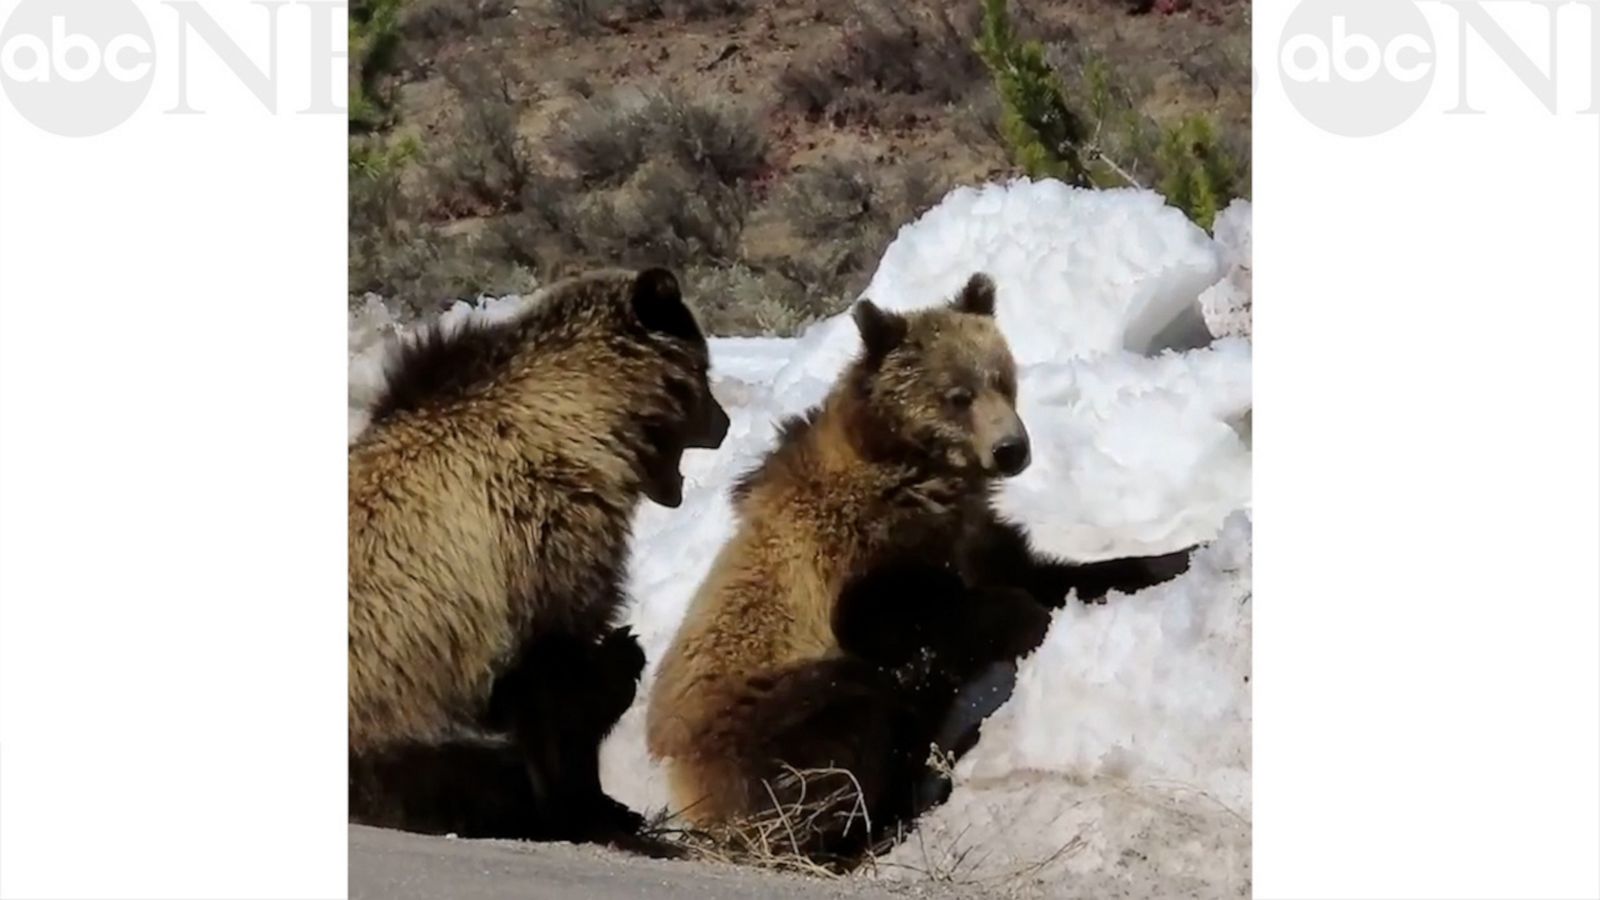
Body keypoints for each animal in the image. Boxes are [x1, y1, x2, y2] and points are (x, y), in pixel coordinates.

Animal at [646, 275, 1190, 864]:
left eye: (1003, 379)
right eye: (958, 395)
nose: (1012, 449)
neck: (923, 475)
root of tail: (680, 784)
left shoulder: (978, 538)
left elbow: (1056, 573)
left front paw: (1178, 554)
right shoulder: (852, 561)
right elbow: (907, 617)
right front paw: (1019, 620)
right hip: (762, 716)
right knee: (845, 732)